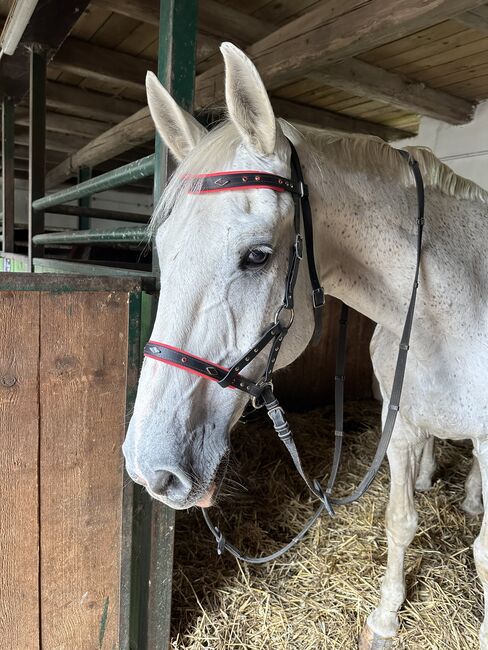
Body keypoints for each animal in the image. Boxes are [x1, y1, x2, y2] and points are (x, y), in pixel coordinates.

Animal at [123, 43, 488, 644]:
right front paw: (385, 620)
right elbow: (400, 520)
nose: (149, 469)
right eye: (163, 251)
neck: (452, 313)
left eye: (256, 256)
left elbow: (482, 555)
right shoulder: (400, 424)